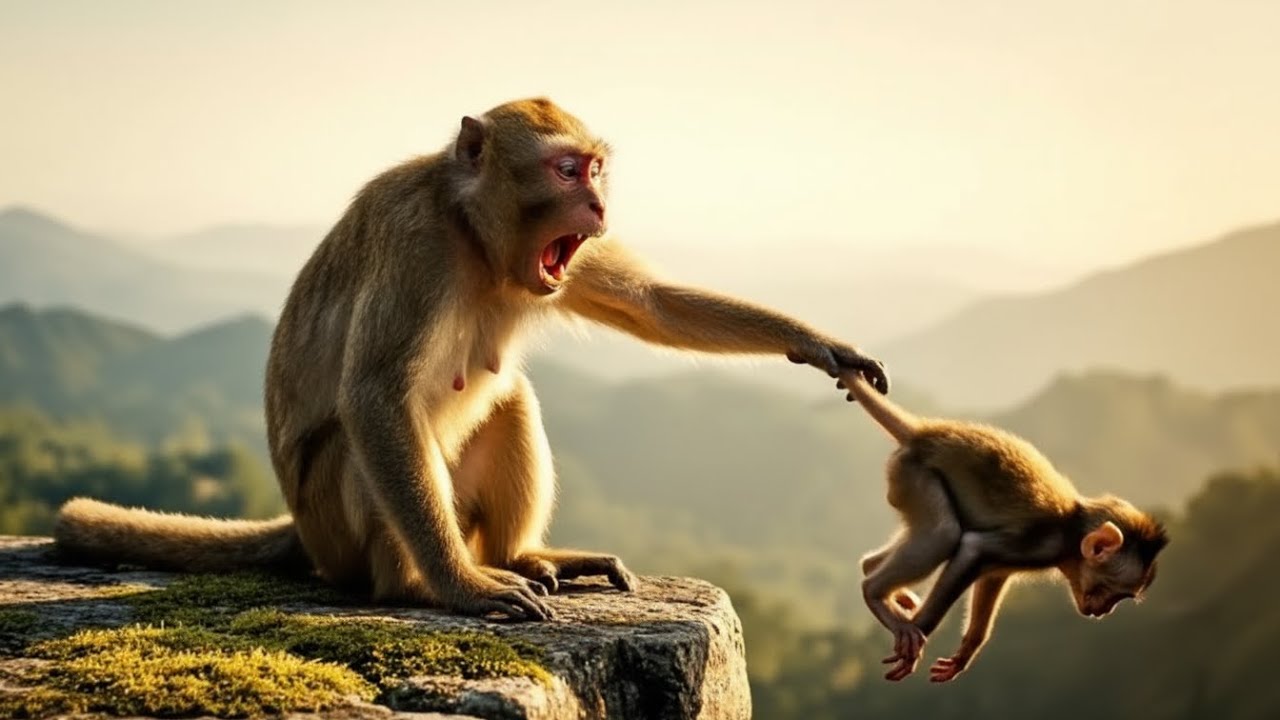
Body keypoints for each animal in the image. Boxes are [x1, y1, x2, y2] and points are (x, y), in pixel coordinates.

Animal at [54, 98, 891, 622]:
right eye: (565, 170)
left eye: (595, 169)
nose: (600, 206)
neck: (472, 234)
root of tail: (303, 529)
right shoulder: (415, 240)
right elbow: (375, 395)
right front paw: (458, 589)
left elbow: (652, 304)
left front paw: (821, 344)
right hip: (342, 526)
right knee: (365, 438)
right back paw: (415, 584)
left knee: (510, 396)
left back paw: (524, 555)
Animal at [836, 371, 1167, 682]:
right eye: (1111, 591)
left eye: (1120, 598)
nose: (1104, 611)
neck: (1072, 530)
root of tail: (925, 433)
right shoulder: (1038, 543)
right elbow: (972, 549)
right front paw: (916, 636)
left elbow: (993, 574)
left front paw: (967, 650)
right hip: (912, 474)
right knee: (944, 534)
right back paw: (874, 593)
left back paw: (873, 570)